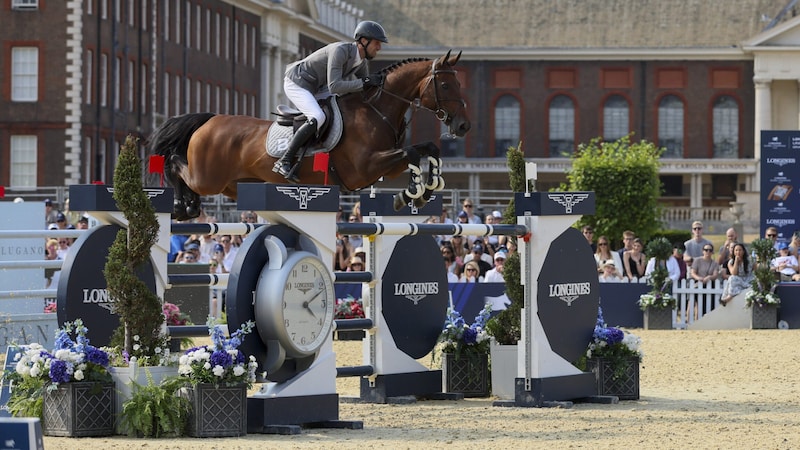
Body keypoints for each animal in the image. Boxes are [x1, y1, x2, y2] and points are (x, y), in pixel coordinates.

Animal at [149, 50, 468, 221]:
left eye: (458, 84)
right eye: (446, 85)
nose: (464, 126)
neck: (377, 109)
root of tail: (211, 120)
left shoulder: (385, 167)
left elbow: (427, 149)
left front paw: (424, 190)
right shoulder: (365, 168)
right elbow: (413, 151)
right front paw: (412, 193)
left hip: (233, 184)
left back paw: (189, 206)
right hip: (208, 177)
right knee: (175, 164)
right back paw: (182, 206)